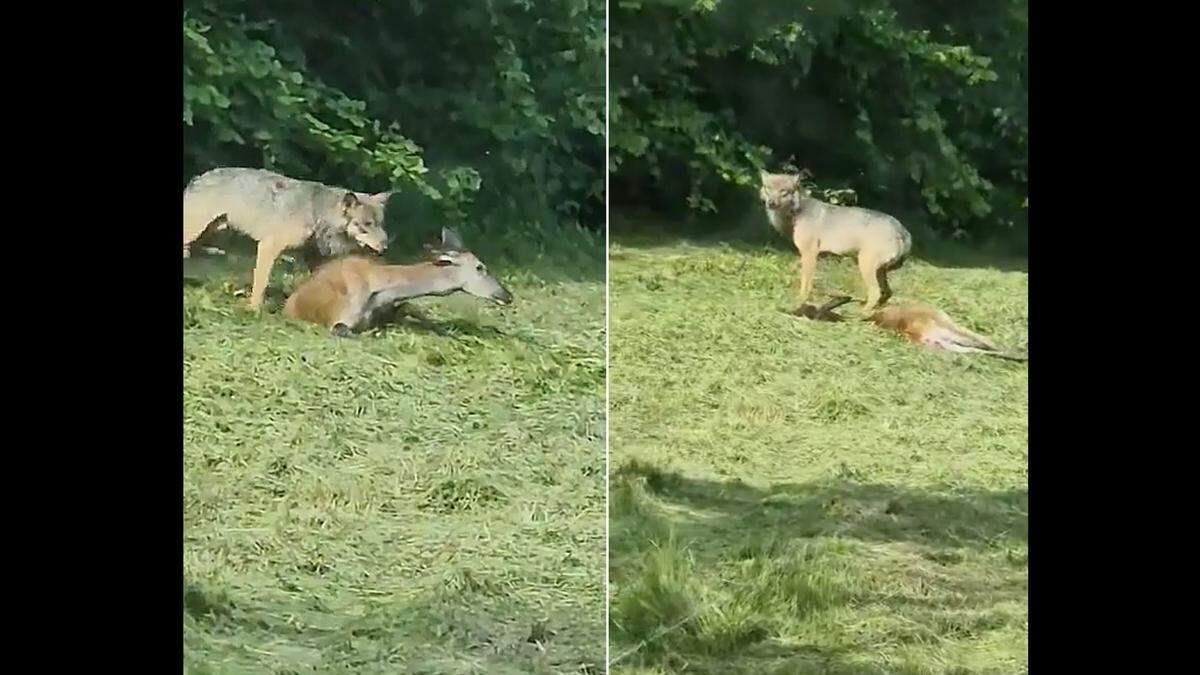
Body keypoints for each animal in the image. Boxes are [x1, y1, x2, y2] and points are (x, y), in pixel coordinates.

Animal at [182, 166, 391, 309]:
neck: (316, 212)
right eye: (366, 225)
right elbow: (261, 282)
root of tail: (198, 178)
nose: (385, 246)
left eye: (380, 223)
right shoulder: (268, 246)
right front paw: (253, 310)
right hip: (195, 232)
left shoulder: (313, 257)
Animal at [763, 170, 912, 312]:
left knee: (876, 293)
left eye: (783, 191)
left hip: (865, 265)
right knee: (887, 293)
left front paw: (799, 303)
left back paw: (859, 314)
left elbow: (805, 284)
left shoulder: (809, 254)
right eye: (768, 188)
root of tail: (902, 230)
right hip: (876, 270)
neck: (797, 212)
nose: (771, 203)